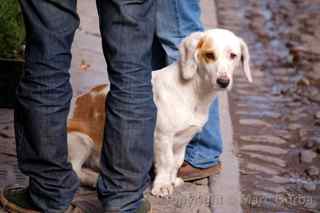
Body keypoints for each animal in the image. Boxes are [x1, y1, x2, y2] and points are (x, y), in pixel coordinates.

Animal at [67, 28, 252, 196]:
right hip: (82, 140)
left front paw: (171, 180)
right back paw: (93, 179)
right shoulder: (163, 137)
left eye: (233, 55)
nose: (223, 81)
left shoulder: (183, 140)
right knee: (75, 171)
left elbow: (176, 162)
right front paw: (162, 185)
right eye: (210, 55)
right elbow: (166, 162)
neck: (194, 91)